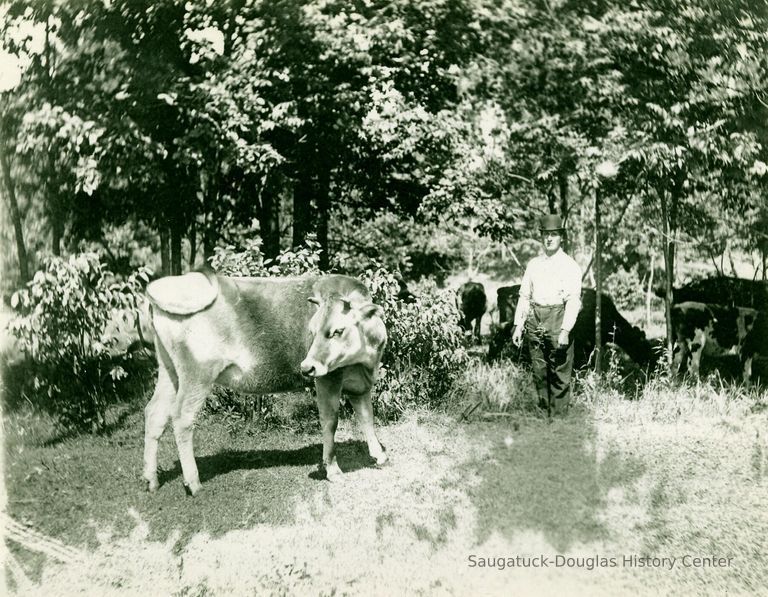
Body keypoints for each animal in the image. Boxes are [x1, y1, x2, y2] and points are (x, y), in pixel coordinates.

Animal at [142, 270, 388, 494]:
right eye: (312, 330)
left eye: (338, 330)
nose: (306, 367)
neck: (364, 361)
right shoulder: (328, 377)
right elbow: (330, 421)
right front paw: (333, 469)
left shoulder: (360, 383)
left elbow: (366, 416)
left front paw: (379, 455)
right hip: (197, 373)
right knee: (182, 417)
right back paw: (193, 483)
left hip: (169, 370)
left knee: (154, 413)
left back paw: (150, 480)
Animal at [488, 282, 656, 368]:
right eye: (644, 345)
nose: (652, 363)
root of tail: (503, 289)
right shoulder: (586, 341)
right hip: (511, 325)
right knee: (496, 340)